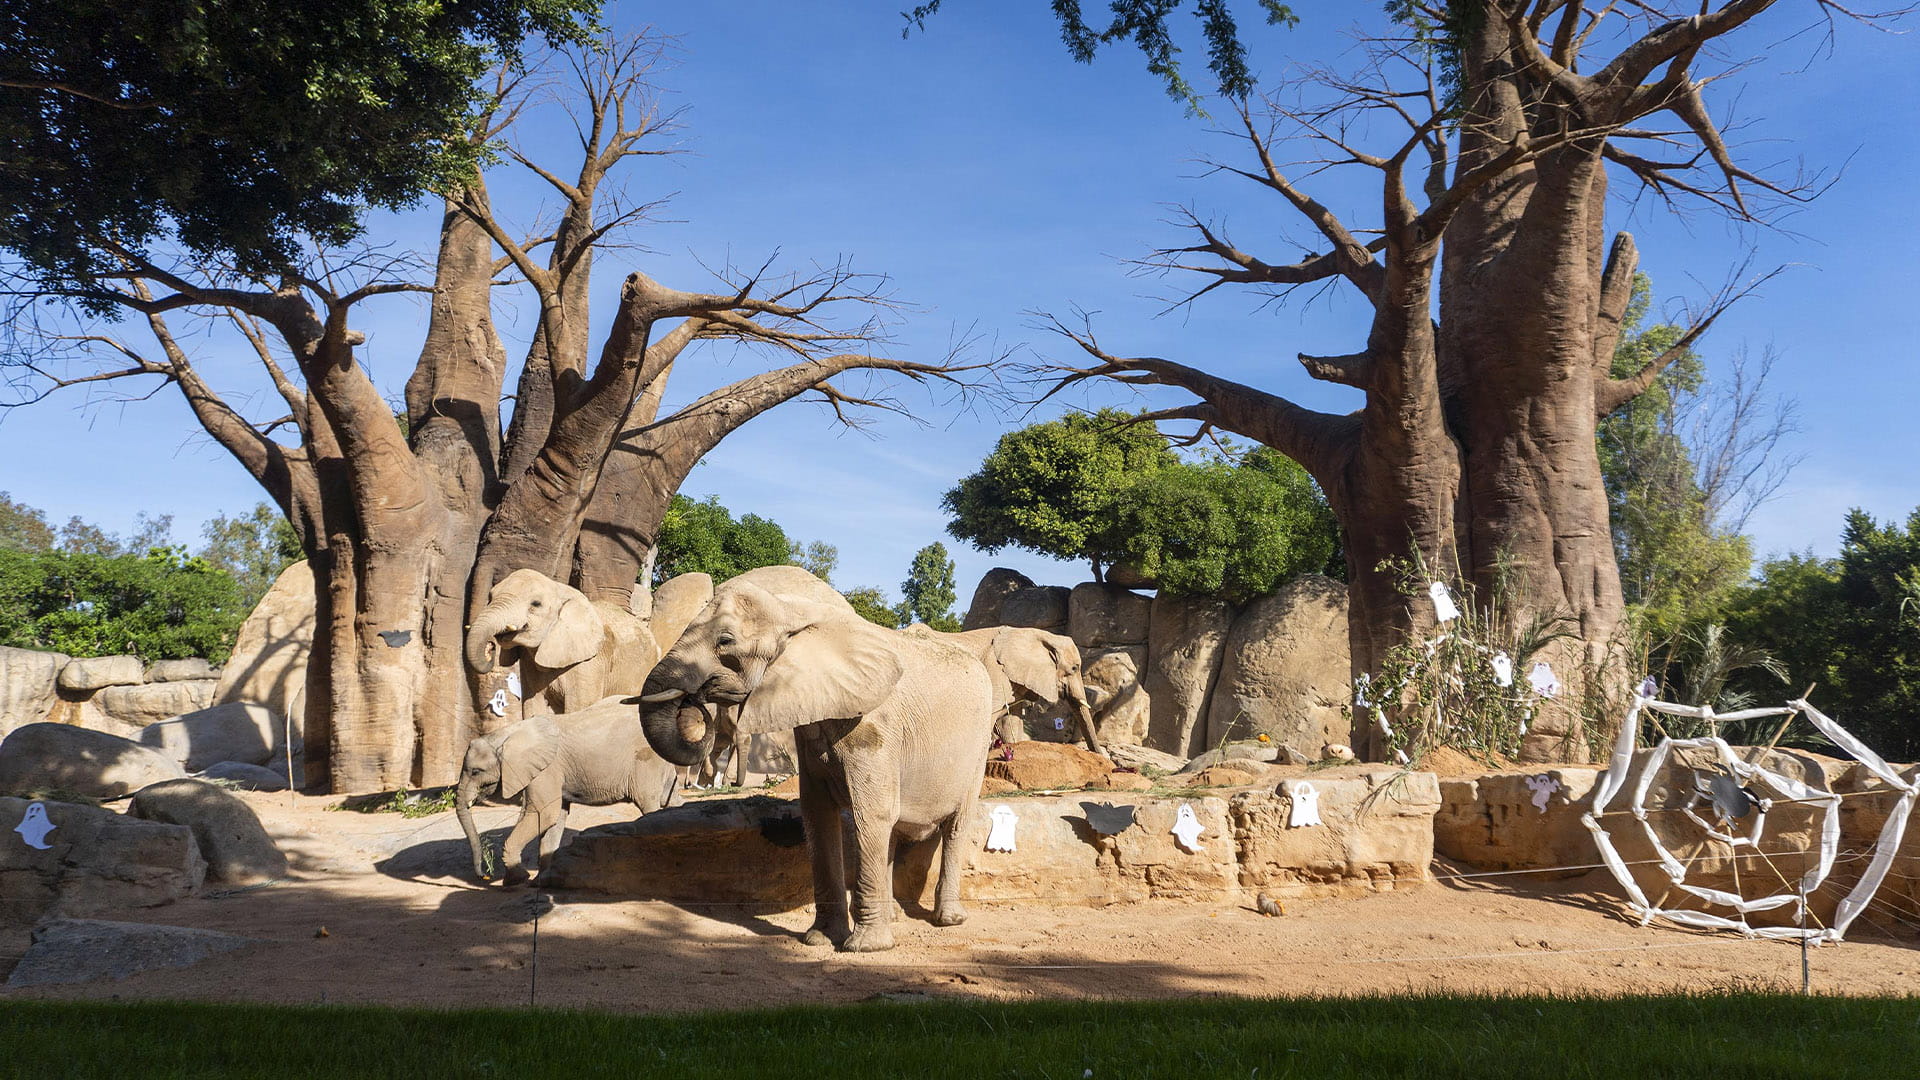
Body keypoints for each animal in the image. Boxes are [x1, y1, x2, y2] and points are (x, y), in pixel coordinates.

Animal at [454, 694, 680, 884]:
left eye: (476, 771)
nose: (485, 875)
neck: (507, 733)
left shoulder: (547, 768)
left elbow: (544, 814)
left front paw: (516, 880)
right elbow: (554, 818)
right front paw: (542, 881)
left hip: (646, 760)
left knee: (648, 803)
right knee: (671, 802)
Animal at [634, 569, 995, 952]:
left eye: (725, 641)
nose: (695, 699)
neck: (795, 610)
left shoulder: (874, 724)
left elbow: (871, 813)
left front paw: (864, 947)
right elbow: (818, 814)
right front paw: (819, 939)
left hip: (978, 746)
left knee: (954, 825)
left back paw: (948, 920)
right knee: (893, 831)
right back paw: (895, 916)